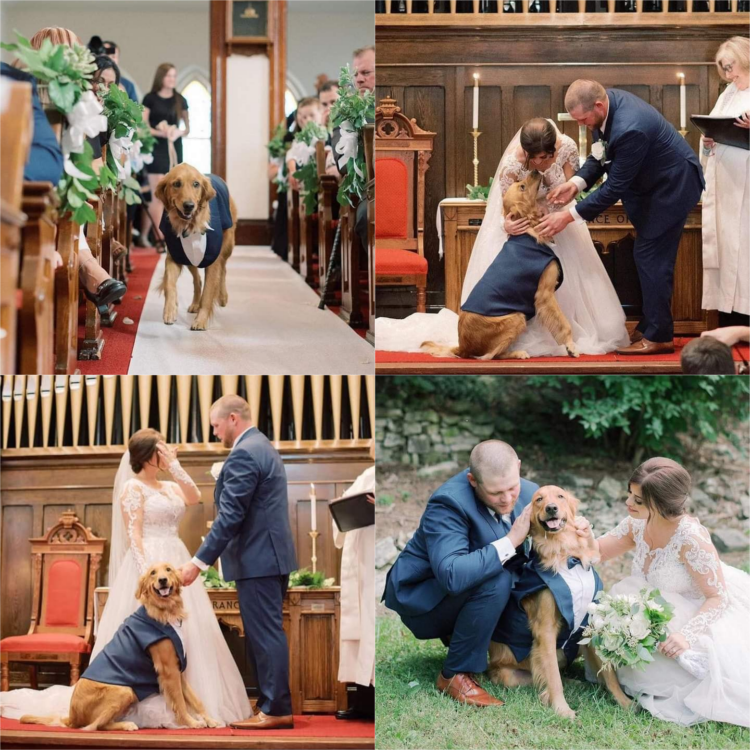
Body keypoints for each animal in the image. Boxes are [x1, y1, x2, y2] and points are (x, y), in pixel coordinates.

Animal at [20, 568, 219, 732]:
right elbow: (180, 701)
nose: (162, 580)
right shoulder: (168, 670)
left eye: (168, 569)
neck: (164, 611)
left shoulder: (177, 668)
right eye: (153, 573)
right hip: (125, 690)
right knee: (96, 726)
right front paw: (191, 722)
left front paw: (209, 719)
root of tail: (72, 717)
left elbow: (195, 699)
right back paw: (126, 724)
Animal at [157, 164, 239, 332]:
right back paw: (196, 303)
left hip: (227, 246)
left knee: (223, 270)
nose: (189, 206)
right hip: (189, 257)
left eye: (196, 184)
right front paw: (170, 311)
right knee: (197, 280)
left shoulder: (213, 259)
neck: (190, 225)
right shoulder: (175, 255)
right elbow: (169, 284)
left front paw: (201, 321)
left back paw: (222, 296)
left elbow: (208, 293)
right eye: (176, 184)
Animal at [424, 175, 580, 366]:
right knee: (490, 356)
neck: (527, 233)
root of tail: (462, 347)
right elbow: (563, 323)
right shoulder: (545, 294)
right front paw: (571, 347)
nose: (536, 171)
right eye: (522, 186)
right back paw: (518, 353)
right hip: (517, 317)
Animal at [488, 488, 636, 724]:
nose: (551, 508)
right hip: (508, 674)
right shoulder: (546, 629)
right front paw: (562, 709)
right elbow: (553, 678)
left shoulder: (590, 623)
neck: (568, 556)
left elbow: (609, 673)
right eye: (539, 499)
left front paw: (624, 702)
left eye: (560, 496)